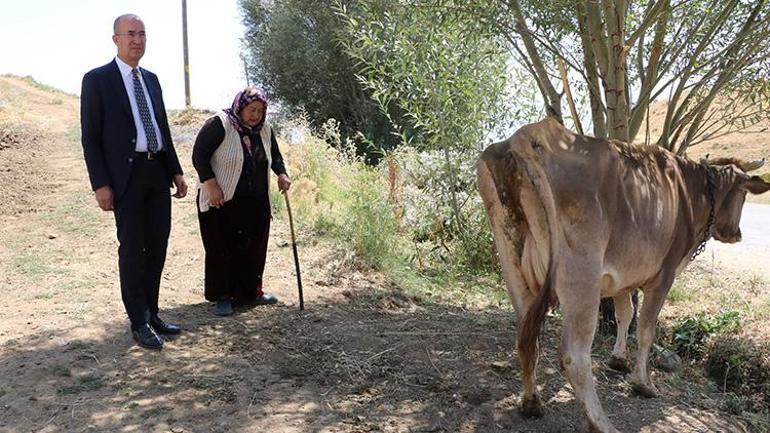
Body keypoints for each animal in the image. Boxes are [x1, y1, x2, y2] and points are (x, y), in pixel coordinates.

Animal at [476, 116, 764, 430]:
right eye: (743, 193)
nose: (736, 234)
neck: (690, 194)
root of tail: (522, 138)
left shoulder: (622, 279)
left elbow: (624, 314)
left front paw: (618, 360)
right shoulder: (664, 275)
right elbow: (647, 328)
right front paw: (643, 383)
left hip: (512, 263)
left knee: (525, 336)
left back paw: (531, 402)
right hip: (581, 277)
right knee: (573, 354)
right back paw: (601, 423)